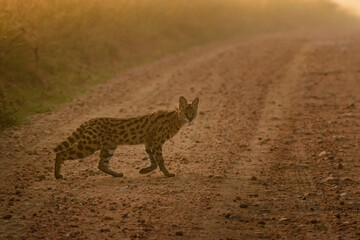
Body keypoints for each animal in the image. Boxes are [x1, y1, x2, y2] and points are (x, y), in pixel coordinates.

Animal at [53, 96, 200, 179]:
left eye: (193, 112)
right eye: (186, 112)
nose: (190, 118)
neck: (175, 118)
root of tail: (89, 121)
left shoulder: (149, 143)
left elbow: (153, 161)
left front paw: (144, 171)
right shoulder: (156, 142)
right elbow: (160, 160)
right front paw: (168, 174)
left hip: (109, 147)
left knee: (101, 164)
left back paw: (117, 174)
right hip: (89, 145)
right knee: (61, 153)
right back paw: (57, 175)